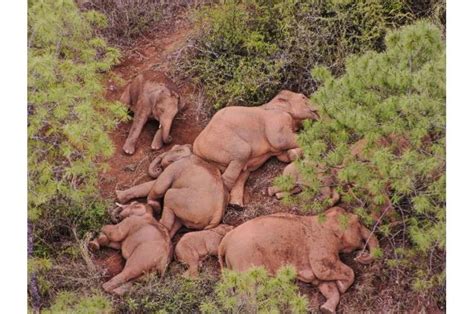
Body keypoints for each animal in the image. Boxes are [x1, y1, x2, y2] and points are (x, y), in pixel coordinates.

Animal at [219, 207, 382, 312]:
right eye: (358, 221)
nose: (360, 255)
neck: (323, 219)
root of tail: (223, 244)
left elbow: (323, 283)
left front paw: (326, 309)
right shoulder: (321, 244)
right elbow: (323, 270)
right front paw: (342, 286)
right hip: (244, 260)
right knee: (249, 289)